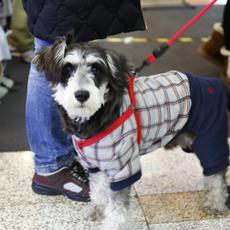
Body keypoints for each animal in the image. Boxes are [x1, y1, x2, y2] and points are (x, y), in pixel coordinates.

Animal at [34, 35, 230, 229]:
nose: (82, 95)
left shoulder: (123, 167)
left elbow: (117, 207)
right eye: (67, 69)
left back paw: (216, 203)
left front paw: (112, 225)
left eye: (96, 69)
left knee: (216, 176)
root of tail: (215, 84)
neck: (97, 115)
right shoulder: (95, 165)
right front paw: (98, 209)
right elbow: (98, 190)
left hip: (211, 141)